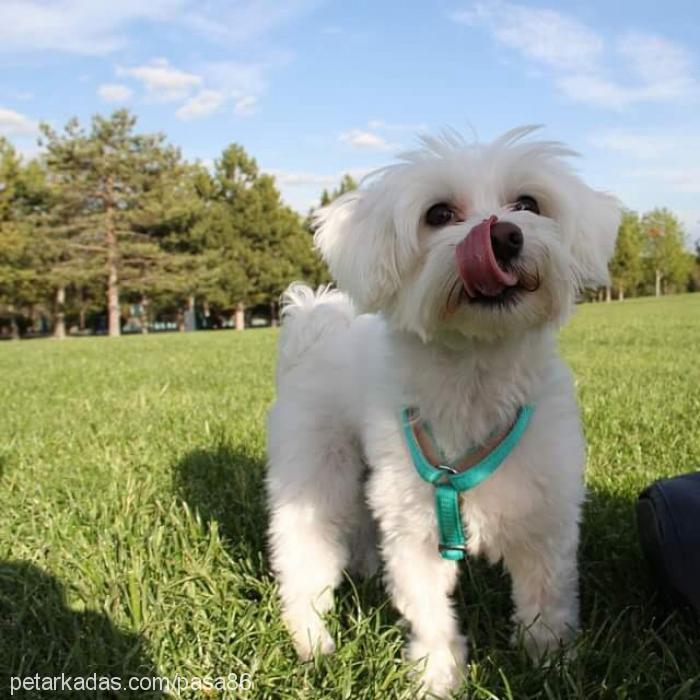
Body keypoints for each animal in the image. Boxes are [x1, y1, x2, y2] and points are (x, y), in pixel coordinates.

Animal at [266, 126, 620, 696]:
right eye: (438, 214)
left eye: (528, 204)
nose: (503, 236)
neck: (474, 376)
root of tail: (315, 322)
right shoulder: (417, 530)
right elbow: (429, 613)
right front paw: (438, 677)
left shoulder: (544, 516)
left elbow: (548, 599)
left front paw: (552, 665)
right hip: (315, 473)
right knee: (304, 556)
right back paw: (311, 641)